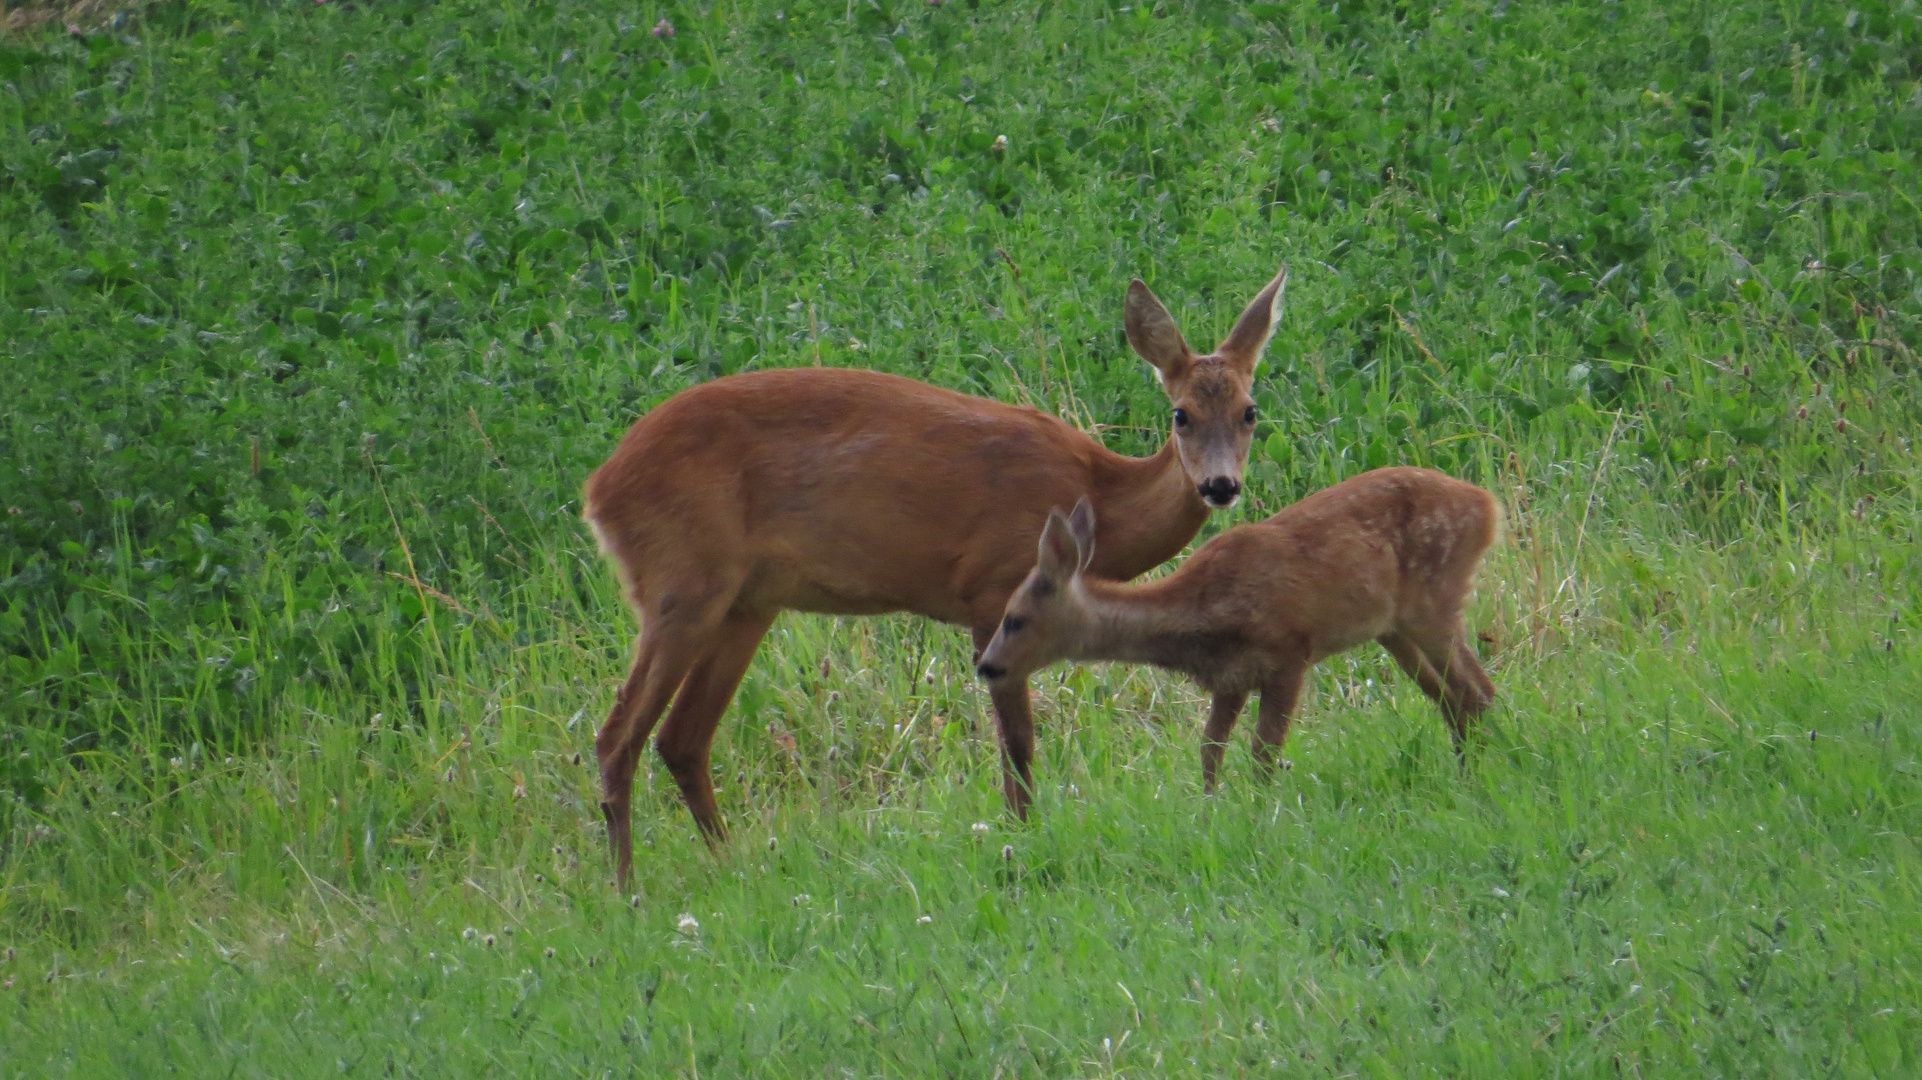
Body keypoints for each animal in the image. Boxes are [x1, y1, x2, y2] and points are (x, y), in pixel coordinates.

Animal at [584, 263, 1291, 883]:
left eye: (1250, 411)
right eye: (1181, 414)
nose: (1220, 485)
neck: (1099, 494)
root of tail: (599, 490)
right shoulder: (992, 588)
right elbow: (1018, 743)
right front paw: (1021, 837)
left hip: (746, 604)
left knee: (681, 737)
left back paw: (732, 864)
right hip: (681, 584)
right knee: (617, 736)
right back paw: (627, 889)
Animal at [976, 466, 1499, 787]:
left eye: (1014, 619)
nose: (986, 667)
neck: (1199, 613)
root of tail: (1488, 505)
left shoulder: (1288, 654)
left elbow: (1263, 752)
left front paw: (1262, 810)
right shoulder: (1230, 678)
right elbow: (1210, 749)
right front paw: (1211, 810)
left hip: (1435, 600)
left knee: (1476, 690)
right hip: (1394, 630)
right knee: (1452, 698)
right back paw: (1470, 769)